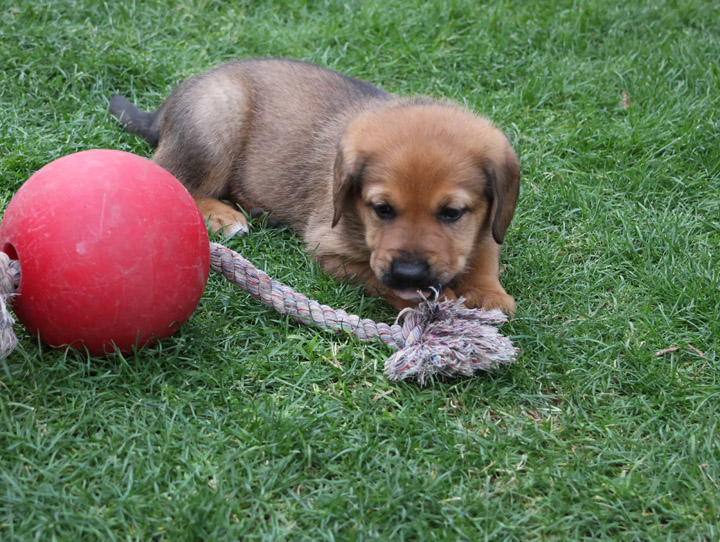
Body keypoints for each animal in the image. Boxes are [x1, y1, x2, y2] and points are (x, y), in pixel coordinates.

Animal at [109, 58, 520, 314]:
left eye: (452, 213)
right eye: (382, 209)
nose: (409, 274)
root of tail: (165, 109)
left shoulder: (486, 224)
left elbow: (485, 252)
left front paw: (487, 294)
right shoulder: (330, 247)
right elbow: (373, 274)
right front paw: (431, 299)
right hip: (216, 120)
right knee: (173, 179)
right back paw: (224, 217)